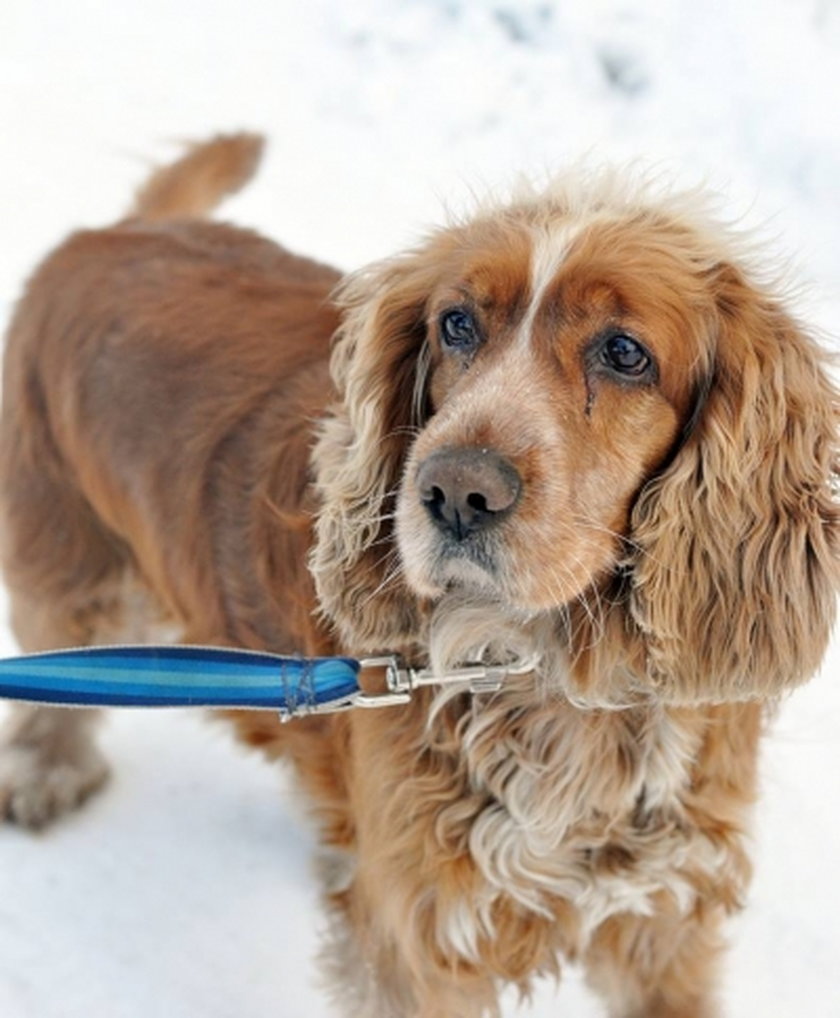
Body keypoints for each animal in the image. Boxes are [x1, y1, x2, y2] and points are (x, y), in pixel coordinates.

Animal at [0, 137, 834, 1018]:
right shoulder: (425, 943)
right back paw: (46, 770)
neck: (561, 686)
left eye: (624, 353)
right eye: (456, 324)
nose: (456, 491)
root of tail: (118, 230)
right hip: (63, 558)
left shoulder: (663, 918)